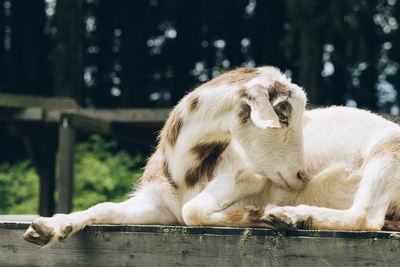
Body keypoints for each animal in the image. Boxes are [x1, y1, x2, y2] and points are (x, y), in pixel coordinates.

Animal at [23, 66, 400, 247]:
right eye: (283, 115)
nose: (300, 176)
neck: (186, 170)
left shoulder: (244, 179)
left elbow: (195, 211)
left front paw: (253, 215)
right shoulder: (161, 205)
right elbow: (104, 208)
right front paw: (51, 227)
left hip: (389, 148)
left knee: (365, 217)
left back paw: (293, 216)